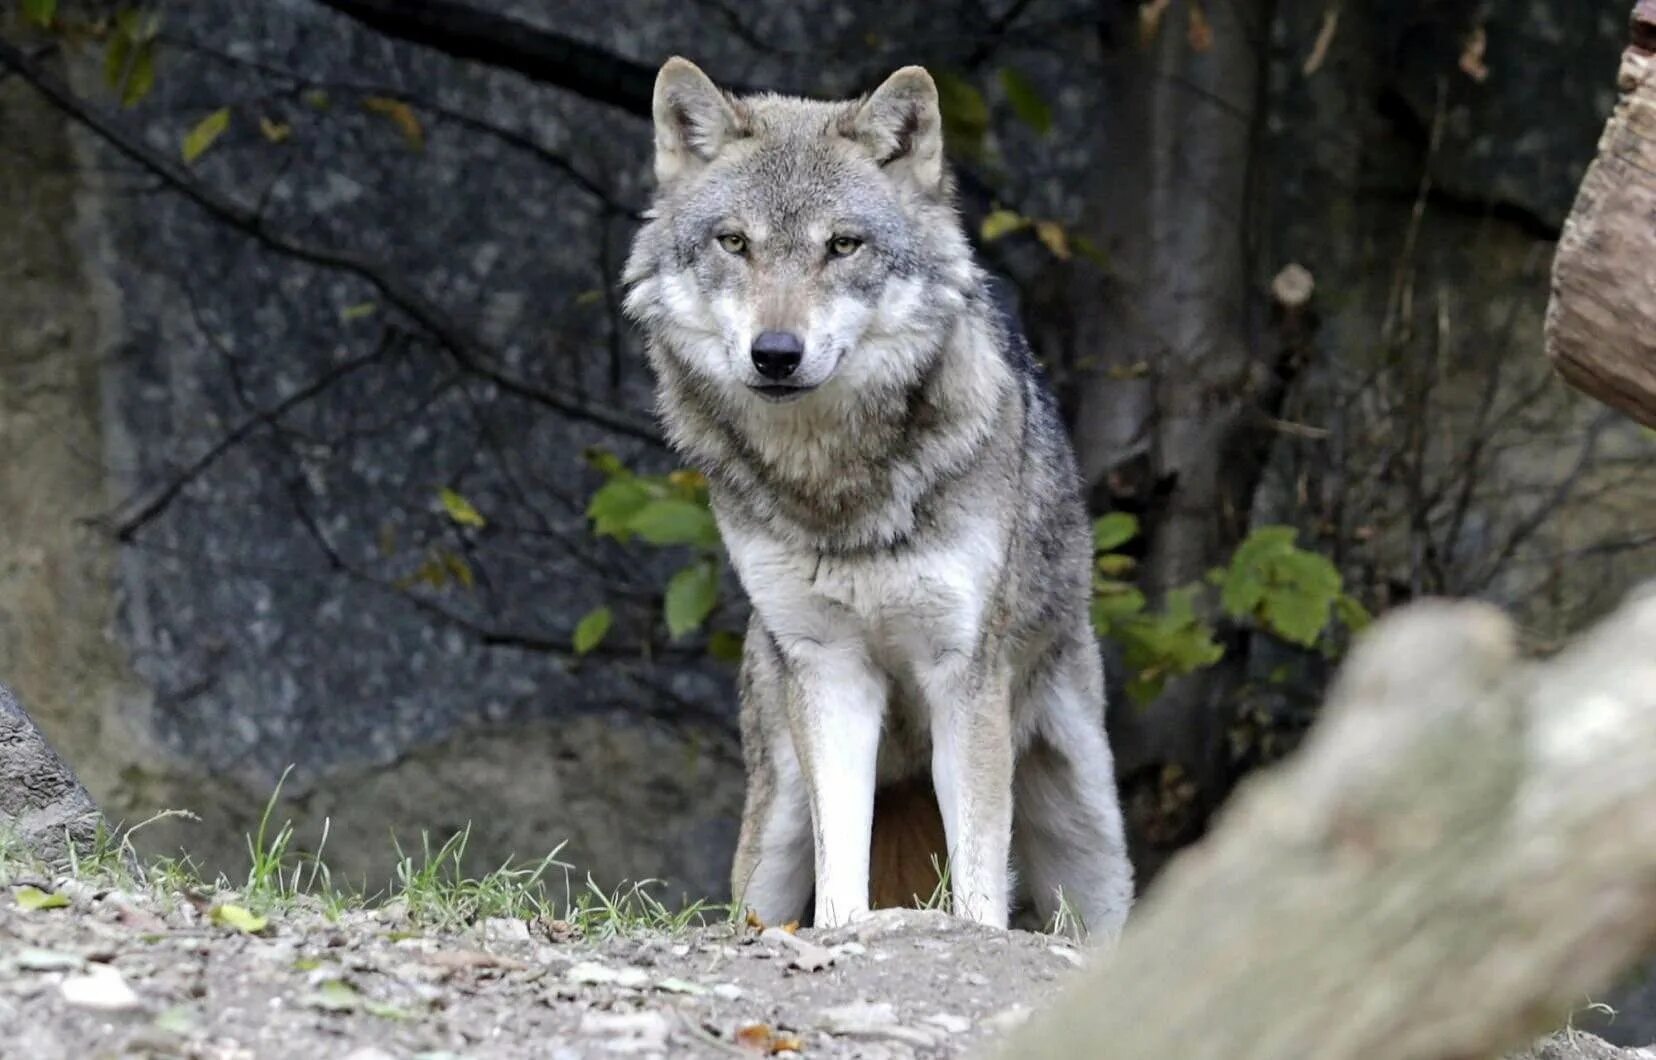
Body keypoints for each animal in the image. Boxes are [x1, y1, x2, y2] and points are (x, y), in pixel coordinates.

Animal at [622, 57, 1139, 934]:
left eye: (842, 245)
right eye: (735, 243)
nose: (776, 353)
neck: (835, 488)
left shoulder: (961, 675)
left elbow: (977, 877)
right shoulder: (829, 670)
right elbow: (843, 865)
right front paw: (841, 933)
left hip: (1089, 844)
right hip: (773, 831)